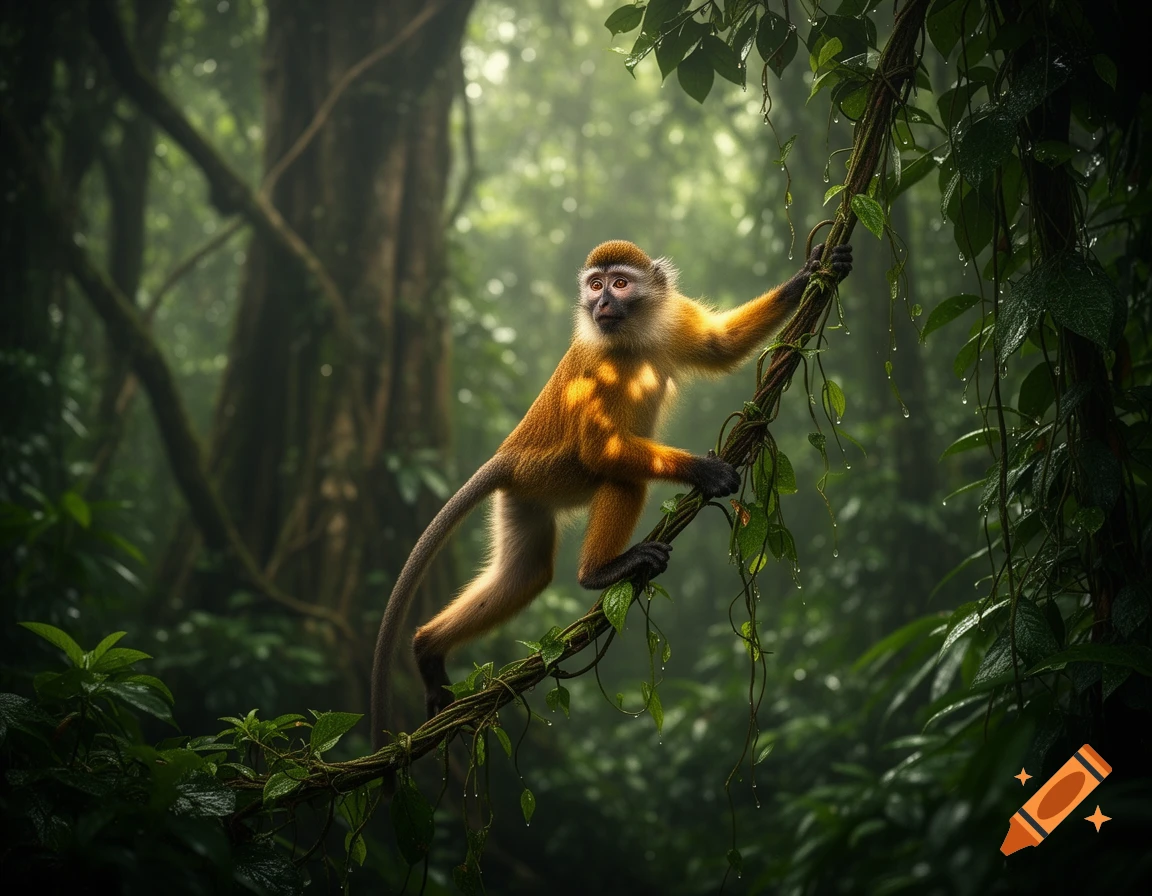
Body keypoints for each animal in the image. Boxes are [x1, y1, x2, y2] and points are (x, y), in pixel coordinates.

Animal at [371, 239, 852, 753]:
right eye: (596, 284)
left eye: (619, 283)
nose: (601, 302)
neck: (632, 337)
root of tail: (510, 454)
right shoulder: (601, 368)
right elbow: (601, 450)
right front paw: (705, 472)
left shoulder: (670, 316)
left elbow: (718, 346)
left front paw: (811, 273)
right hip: (550, 473)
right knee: (622, 479)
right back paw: (599, 573)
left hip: (525, 495)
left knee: (527, 573)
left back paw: (427, 648)